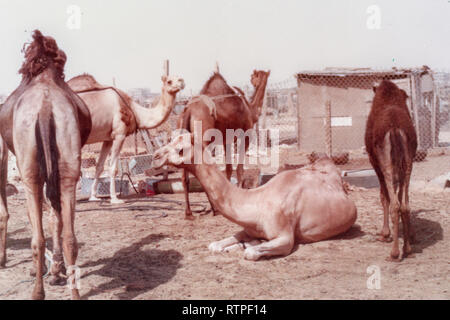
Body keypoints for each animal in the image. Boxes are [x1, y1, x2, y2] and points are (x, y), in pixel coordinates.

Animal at [0, 30, 91, 300]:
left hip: (28, 168)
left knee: (37, 234)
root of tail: (45, 107)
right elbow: (56, 216)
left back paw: (36, 290)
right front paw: (56, 273)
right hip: (69, 156)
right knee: (69, 233)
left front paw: (45, 271)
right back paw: (73, 292)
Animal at [65, 72, 185, 202]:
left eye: (179, 78)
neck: (134, 110)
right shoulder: (119, 134)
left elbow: (100, 167)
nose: (182, 82)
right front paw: (115, 198)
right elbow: (113, 168)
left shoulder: (108, 138)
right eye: (169, 81)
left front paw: (93, 197)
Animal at [153, 134, 356, 262]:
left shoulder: (285, 236)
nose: (155, 157)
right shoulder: (249, 228)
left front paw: (248, 246)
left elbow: (250, 252)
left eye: (180, 149)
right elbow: (214, 245)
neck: (257, 202)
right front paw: (232, 245)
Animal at [177, 70, 268, 220]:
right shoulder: (246, 134)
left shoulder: (227, 140)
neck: (251, 109)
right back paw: (214, 209)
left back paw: (189, 213)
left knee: (185, 176)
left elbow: (228, 168)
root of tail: (188, 111)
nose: (256, 80)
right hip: (203, 138)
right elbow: (239, 168)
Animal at [366, 79, 418, 260]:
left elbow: (384, 196)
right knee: (405, 205)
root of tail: (395, 130)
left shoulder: (374, 162)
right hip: (408, 162)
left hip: (385, 163)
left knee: (395, 204)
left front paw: (384, 233)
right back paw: (407, 249)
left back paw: (394, 253)